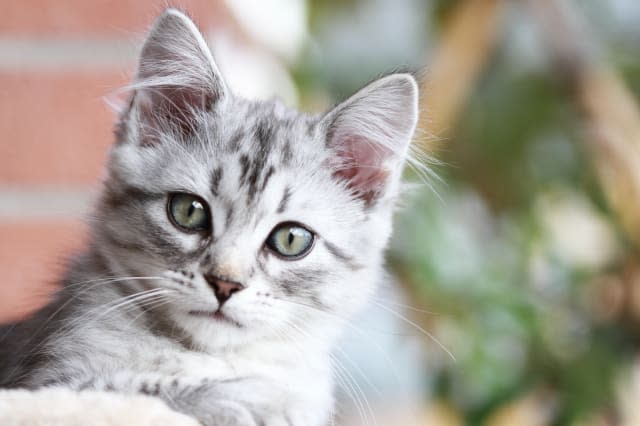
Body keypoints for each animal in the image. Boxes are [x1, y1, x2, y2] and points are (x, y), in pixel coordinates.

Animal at [0, 7, 420, 426]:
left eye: (291, 239)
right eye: (188, 211)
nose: (225, 284)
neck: (210, 357)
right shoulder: (52, 379)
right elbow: (146, 387)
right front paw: (250, 401)